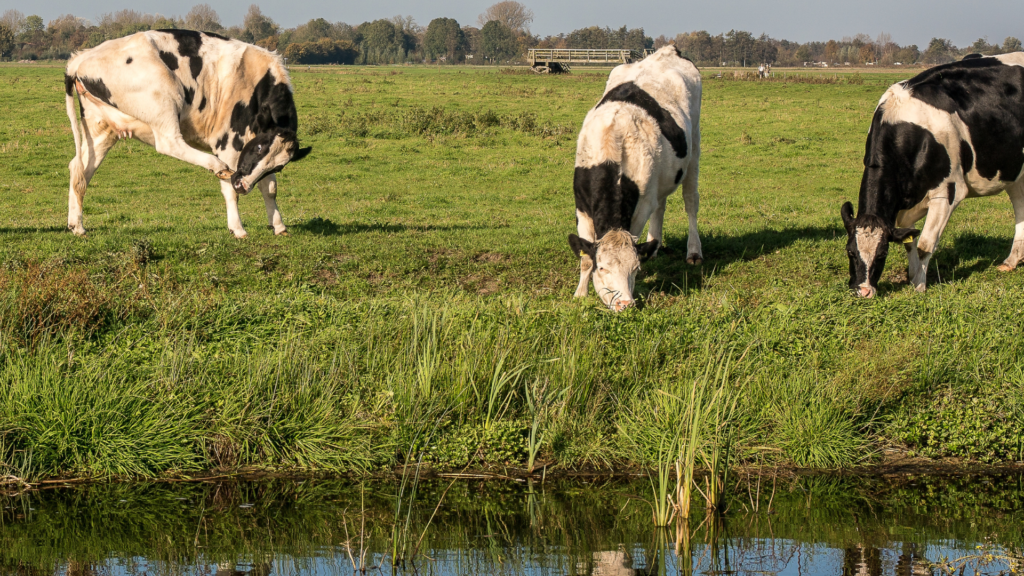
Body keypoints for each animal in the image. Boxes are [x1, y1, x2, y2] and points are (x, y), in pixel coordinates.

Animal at [63, 29, 309, 237]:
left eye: (279, 166)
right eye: (258, 147)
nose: (243, 185)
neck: (256, 81)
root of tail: (82, 58)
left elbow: (270, 188)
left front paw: (279, 226)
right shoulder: (229, 142)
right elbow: (230, 190)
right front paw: (238, 229)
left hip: (101, 128)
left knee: (80, 169)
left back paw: (77, 226)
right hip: (164, 98)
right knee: (169, 143)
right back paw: (217, 167)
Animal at [569, 45, 704, 311]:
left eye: (634, 268)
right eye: (603, 268)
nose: (625, 304)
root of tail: (667, 51)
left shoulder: (641, 206)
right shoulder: (581, 205)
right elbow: (586, 257)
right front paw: (580, 294)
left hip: (694, 146)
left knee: (690, 201)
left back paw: (693, 252)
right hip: (661, 175)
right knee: (661, 205)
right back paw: (655, 245)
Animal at [839, 52, 1024, 295]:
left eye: (883, 253)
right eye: (850, 251)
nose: (864, 291)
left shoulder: (948, 193)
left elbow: (925, 245)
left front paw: (919, 284)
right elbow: (910, 243)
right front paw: (911, 276)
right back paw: (1011, 261)